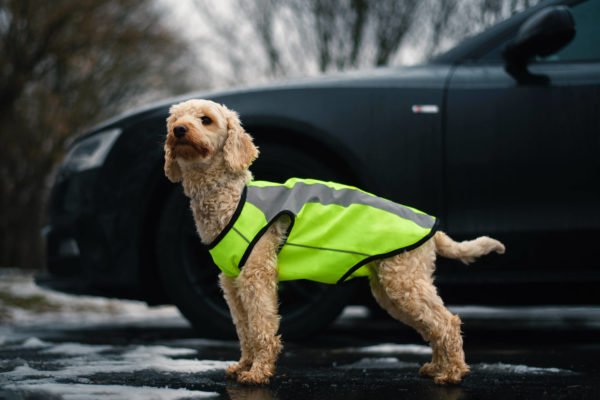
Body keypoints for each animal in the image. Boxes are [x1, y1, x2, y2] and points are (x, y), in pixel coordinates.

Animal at [162, 98, 504, 386]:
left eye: (206, 120)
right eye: (176, 119)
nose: (179, 130)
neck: (230, 196)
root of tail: (433, 231)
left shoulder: (256, 275)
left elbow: (261, 327)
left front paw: (258, 373)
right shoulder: (232, 282)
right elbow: (244, 329)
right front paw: (244, 365)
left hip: (405, 281)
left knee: (447, 322)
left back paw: (453, 373)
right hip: (391, 288)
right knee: (432, 325)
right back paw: (438, 367)